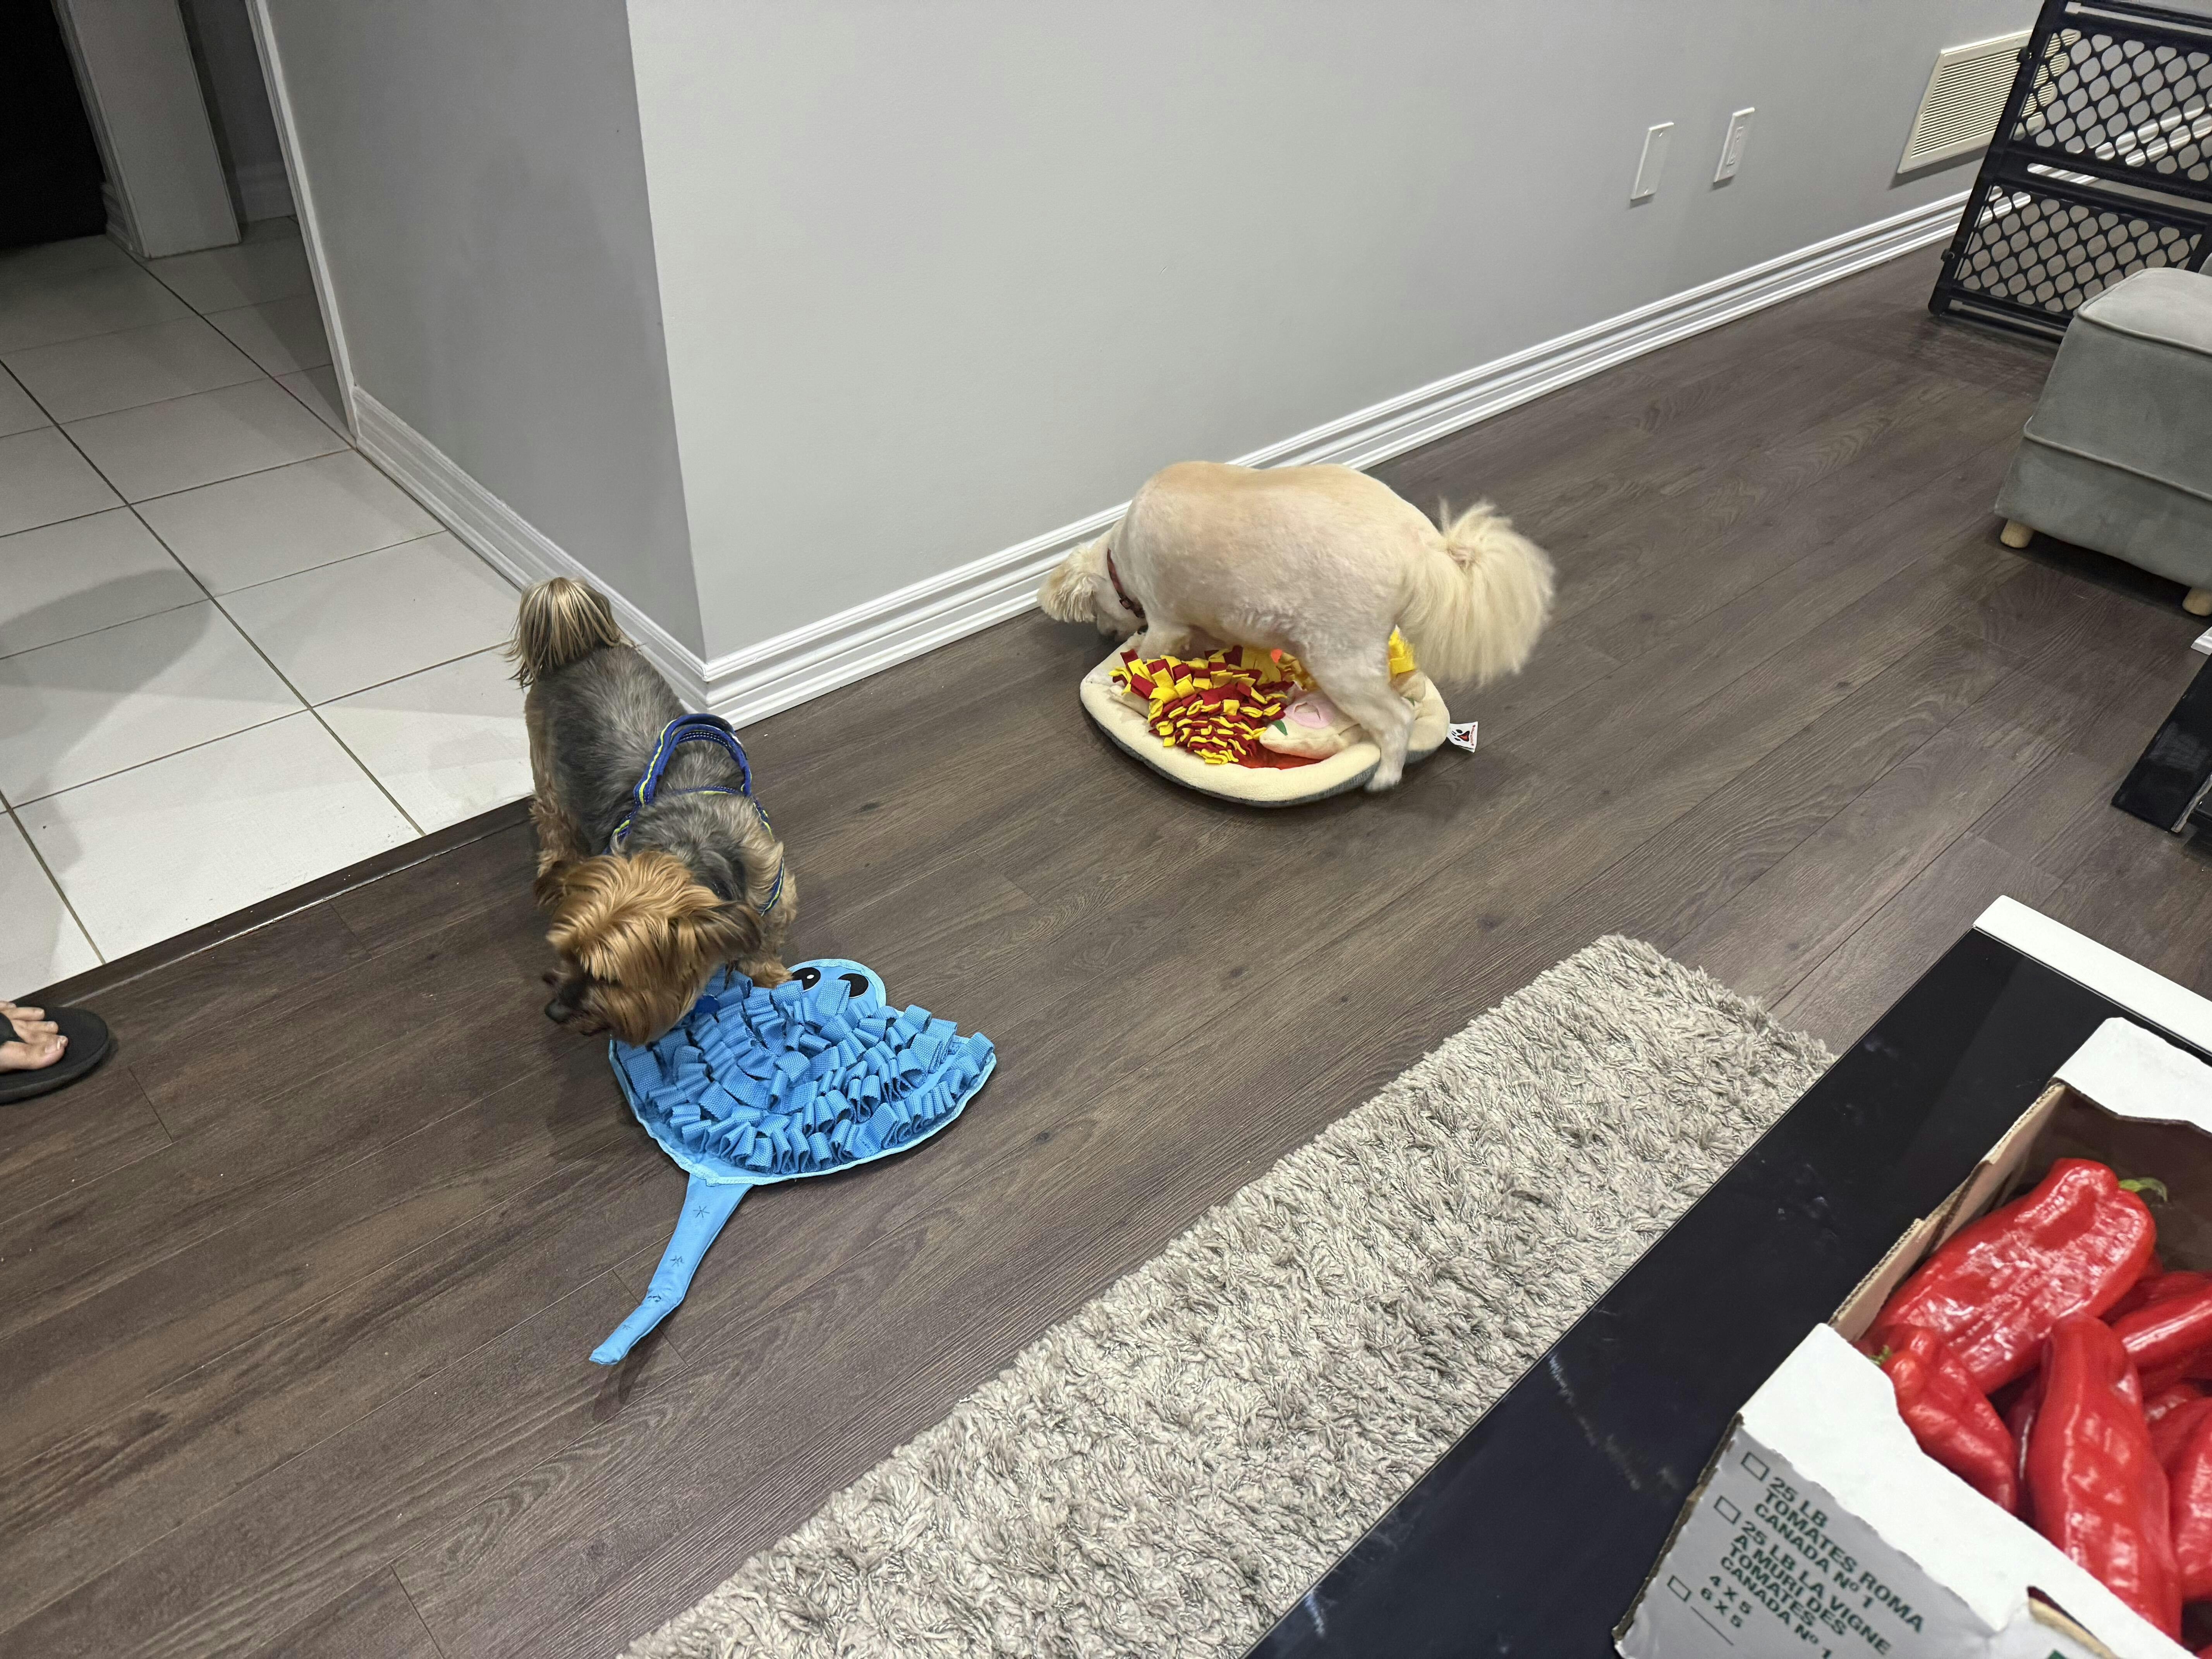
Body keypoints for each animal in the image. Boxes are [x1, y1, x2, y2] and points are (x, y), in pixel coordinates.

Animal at [511, 577, 796, 1045]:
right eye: (566, 954)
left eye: (610, 979)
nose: (554, 1011)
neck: (687, 849)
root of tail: (579, 647)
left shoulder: (773, 889)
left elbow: (765, 941)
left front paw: (770, 976)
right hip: (548, 766)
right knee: (553, 820)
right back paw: (555, 871)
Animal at [1039, 462, 1553, 789]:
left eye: (1102, 612)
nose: (1107, 635)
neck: (1119, 555)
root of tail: (1424, 544)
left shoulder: (1166, 621)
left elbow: (1148, 658)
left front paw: (1127, 677)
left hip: (1340, 660)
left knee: (1396, 720)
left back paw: (1386, 775)